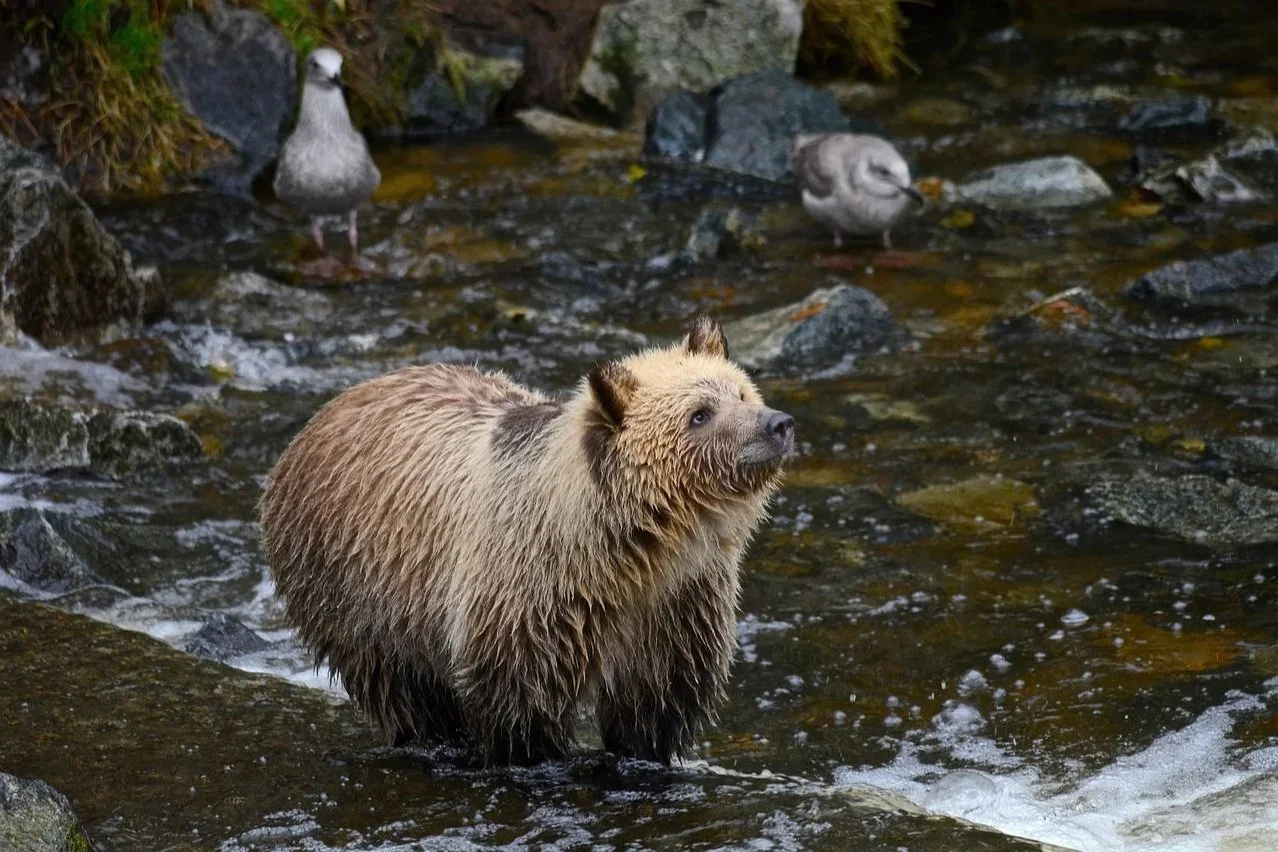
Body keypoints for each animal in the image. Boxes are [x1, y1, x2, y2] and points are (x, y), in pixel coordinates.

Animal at [258, 316, 794, 764]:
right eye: (700, 413)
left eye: (741, 392)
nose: (778, 424)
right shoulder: (530, 593)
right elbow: (520, 700)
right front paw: (538, 756)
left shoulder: (677, 603)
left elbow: (656, 698)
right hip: (357, 582)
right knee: (399, 683)